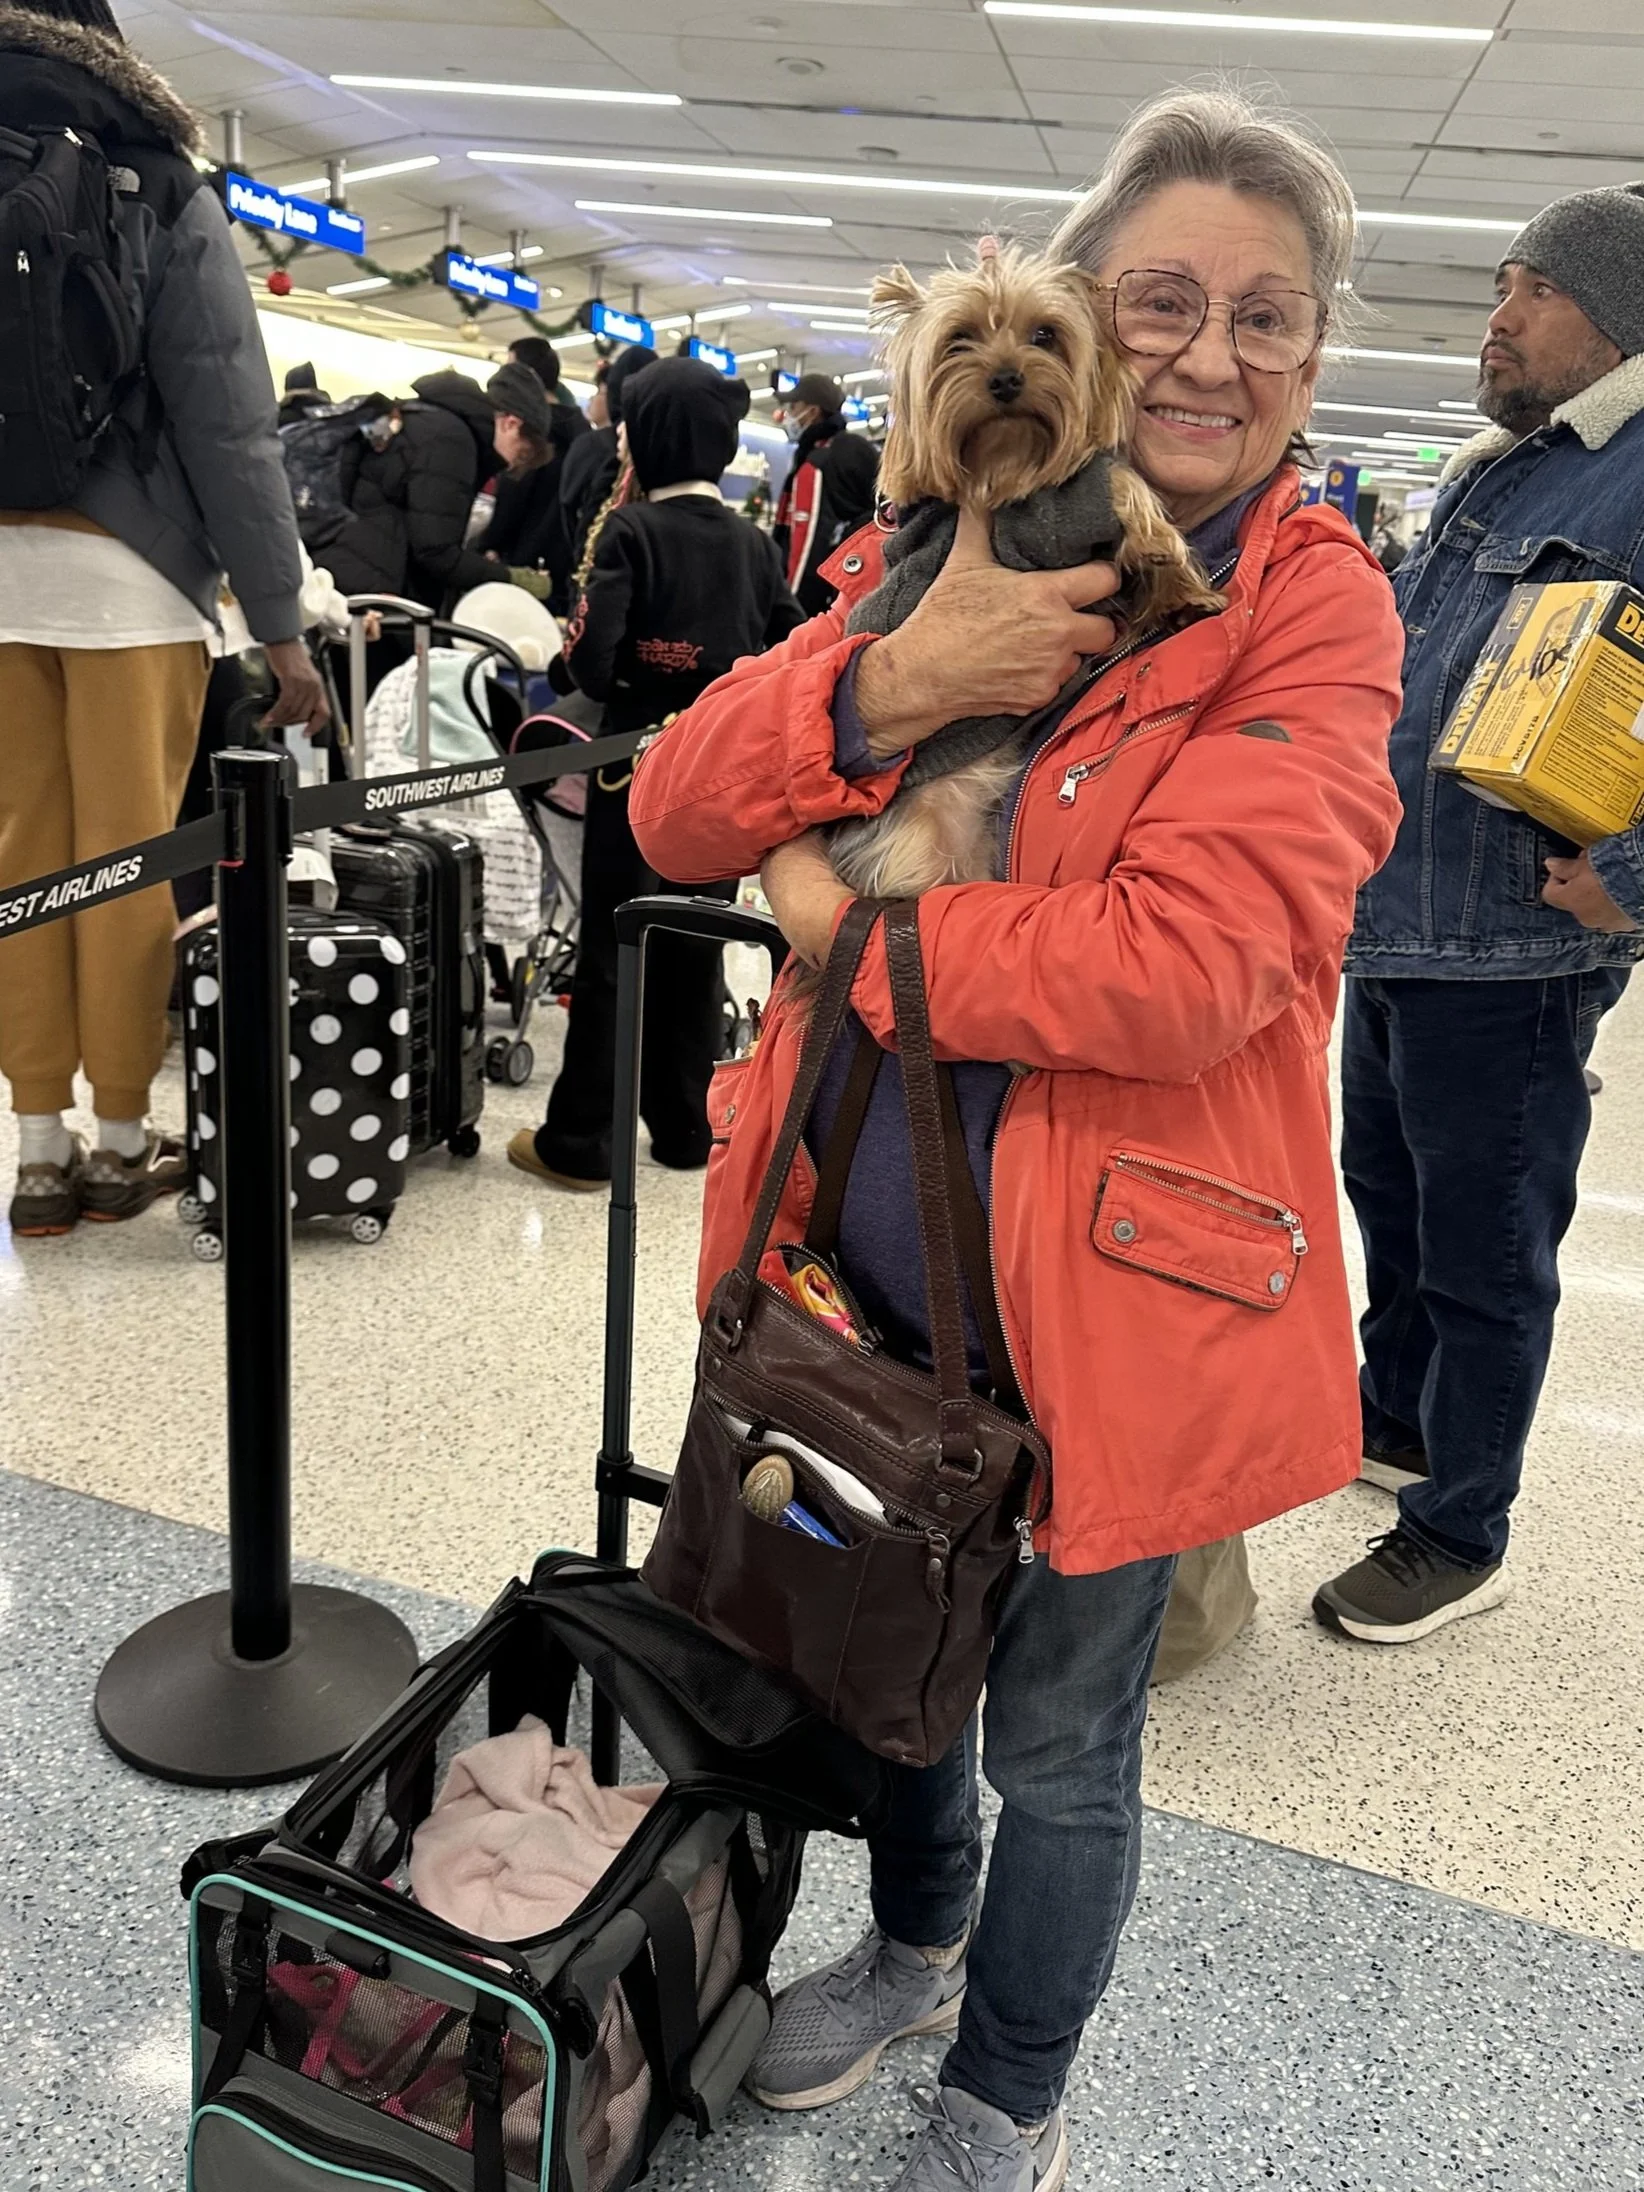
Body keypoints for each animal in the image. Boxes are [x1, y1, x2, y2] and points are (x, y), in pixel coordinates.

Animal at [821, 242, 1224, 907]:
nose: (1007, 378)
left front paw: (1180, 588)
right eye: (958, 340)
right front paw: (1162, 550)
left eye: (1045, 335)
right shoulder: (1032, 526)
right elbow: (1115, 477)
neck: (1007, 463)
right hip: (918, 853)